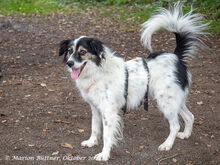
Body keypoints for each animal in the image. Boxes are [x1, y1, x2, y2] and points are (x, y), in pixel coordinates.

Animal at [58, 3, 206, 162]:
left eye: (82, 52)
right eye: (69, 51)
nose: (69, 63)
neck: (98, 71)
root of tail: (176, 56)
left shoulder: (109, 112)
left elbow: (106, 136)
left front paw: (104, 154)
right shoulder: (95, 107)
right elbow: (94, 127)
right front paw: (91, 142)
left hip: (166, 101)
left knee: (175, 125)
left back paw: (167, 144)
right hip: (174, 99)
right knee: (190, 116)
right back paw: (185, 134)